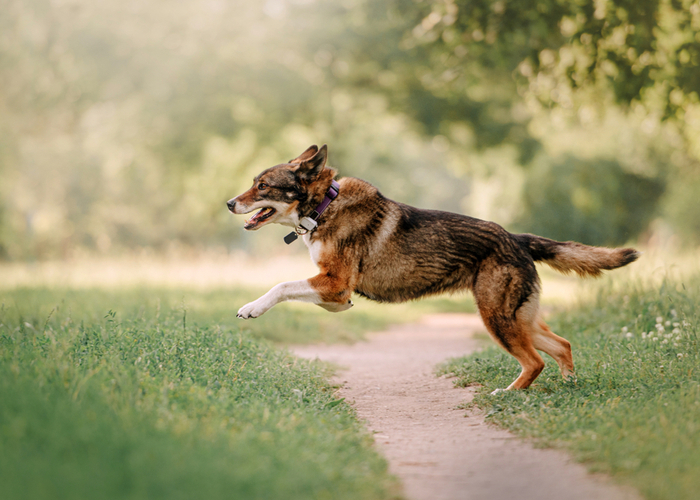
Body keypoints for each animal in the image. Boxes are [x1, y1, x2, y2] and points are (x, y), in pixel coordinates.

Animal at [226, 145, 640, 390]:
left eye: (263, 186)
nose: (229, 203)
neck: (323, 207)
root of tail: (517, 238)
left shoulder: (335, 283)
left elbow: (281, 286)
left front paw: (251, 308)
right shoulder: (335, 292)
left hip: (496, 317)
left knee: (536, 361)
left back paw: (509, 394)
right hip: (518, 318)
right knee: (562, 345)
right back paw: (569, 387)